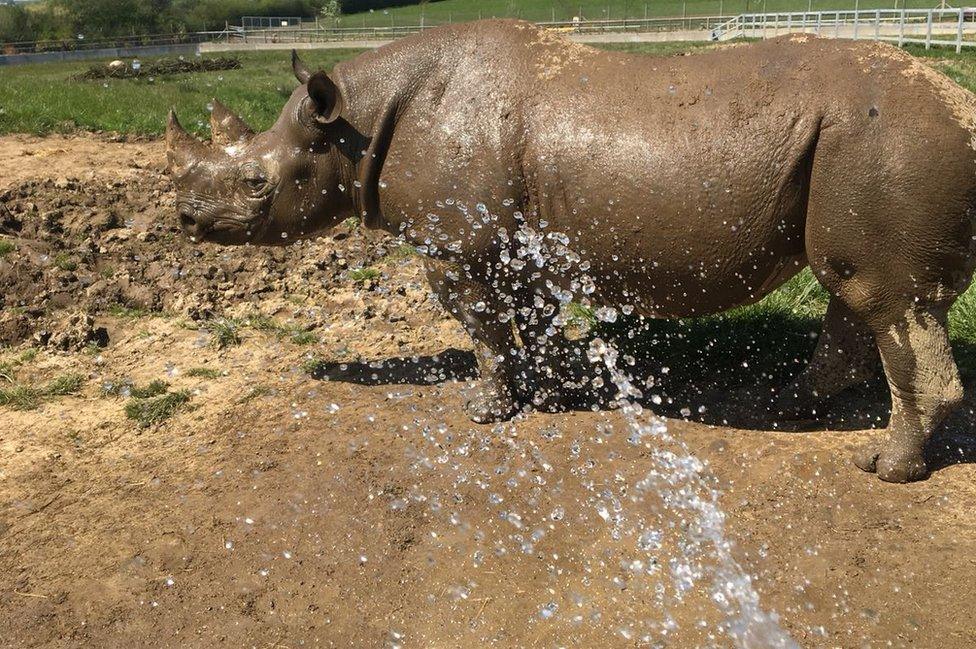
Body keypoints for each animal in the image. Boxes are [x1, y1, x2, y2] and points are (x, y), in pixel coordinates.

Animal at [168, 19, 976, 480]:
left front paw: (484, 411)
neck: (355, 123)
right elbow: (530, 321)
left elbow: (484, 328)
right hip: (862, 147)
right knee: (857, 291)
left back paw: (880, 467)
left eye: (256, 184)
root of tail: (962, 107)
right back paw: (788, 408)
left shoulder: (454, 246)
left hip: (884, 143)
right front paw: (559, 392)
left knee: (885, 299)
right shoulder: (515, 239)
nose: (183, 218)